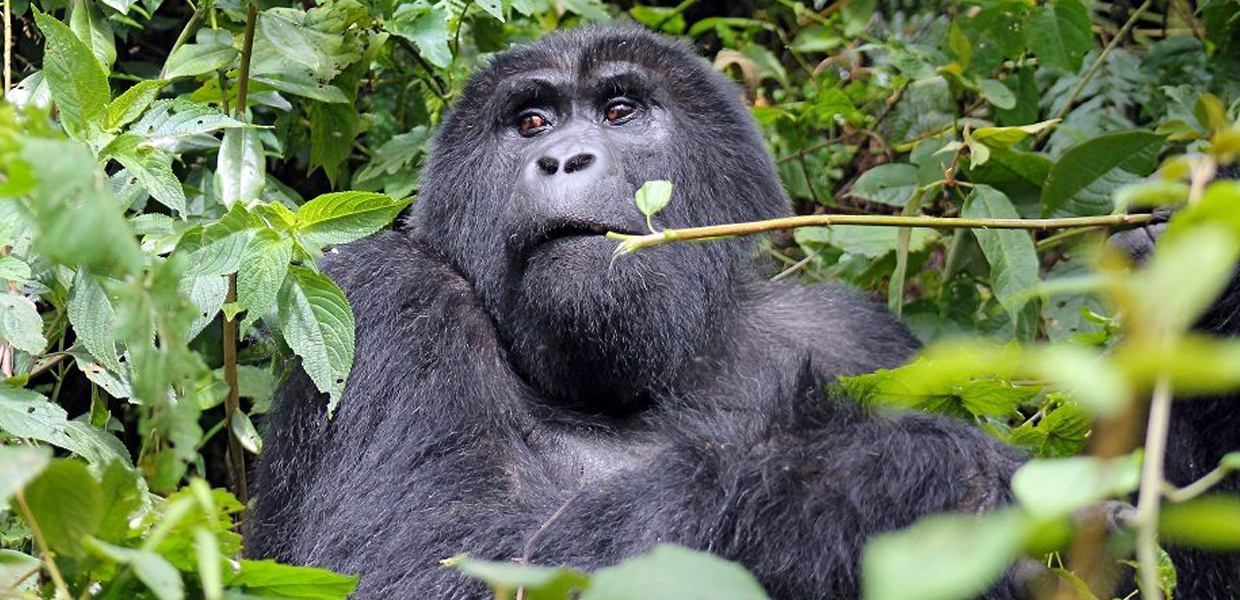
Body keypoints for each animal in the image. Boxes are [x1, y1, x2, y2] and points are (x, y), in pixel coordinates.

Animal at [244, 25, 1240, 597]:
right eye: (530, 123)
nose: (561, 158)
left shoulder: (857, 338)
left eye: (619, 110)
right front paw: (883, 484)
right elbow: (407, 566)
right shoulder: (386, 300)